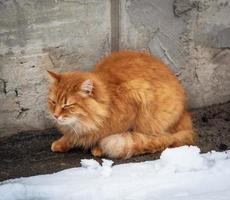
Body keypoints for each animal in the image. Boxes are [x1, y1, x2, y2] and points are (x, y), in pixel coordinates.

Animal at [47, 50, 195, 159]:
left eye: (67, 106)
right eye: (53, 102)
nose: (55, 115)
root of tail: (185, 114)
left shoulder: (135, 97)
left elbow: (108, 133)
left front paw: (98, 148)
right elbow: (71, 136)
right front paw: (62, 142)